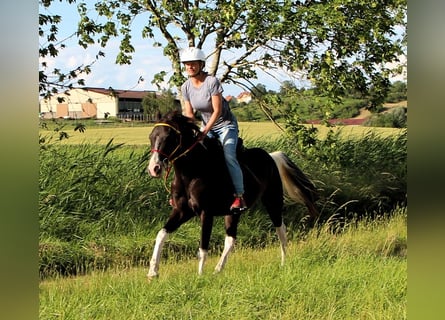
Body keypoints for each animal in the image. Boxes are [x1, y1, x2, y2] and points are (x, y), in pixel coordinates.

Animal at [145, 111, 316, 278]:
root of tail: (271, 157)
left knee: (281, 229)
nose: (154, 168)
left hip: (272, 201)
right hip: (233, 212)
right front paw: (153, 272)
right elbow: (161, 234)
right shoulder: (182, 211)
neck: (191, 173)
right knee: (231, 240)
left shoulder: (206, 213)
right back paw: (218, 270)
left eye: (169, 137)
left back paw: (283, 263)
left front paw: (199, 277)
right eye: (151, 136)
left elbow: (203, 246)